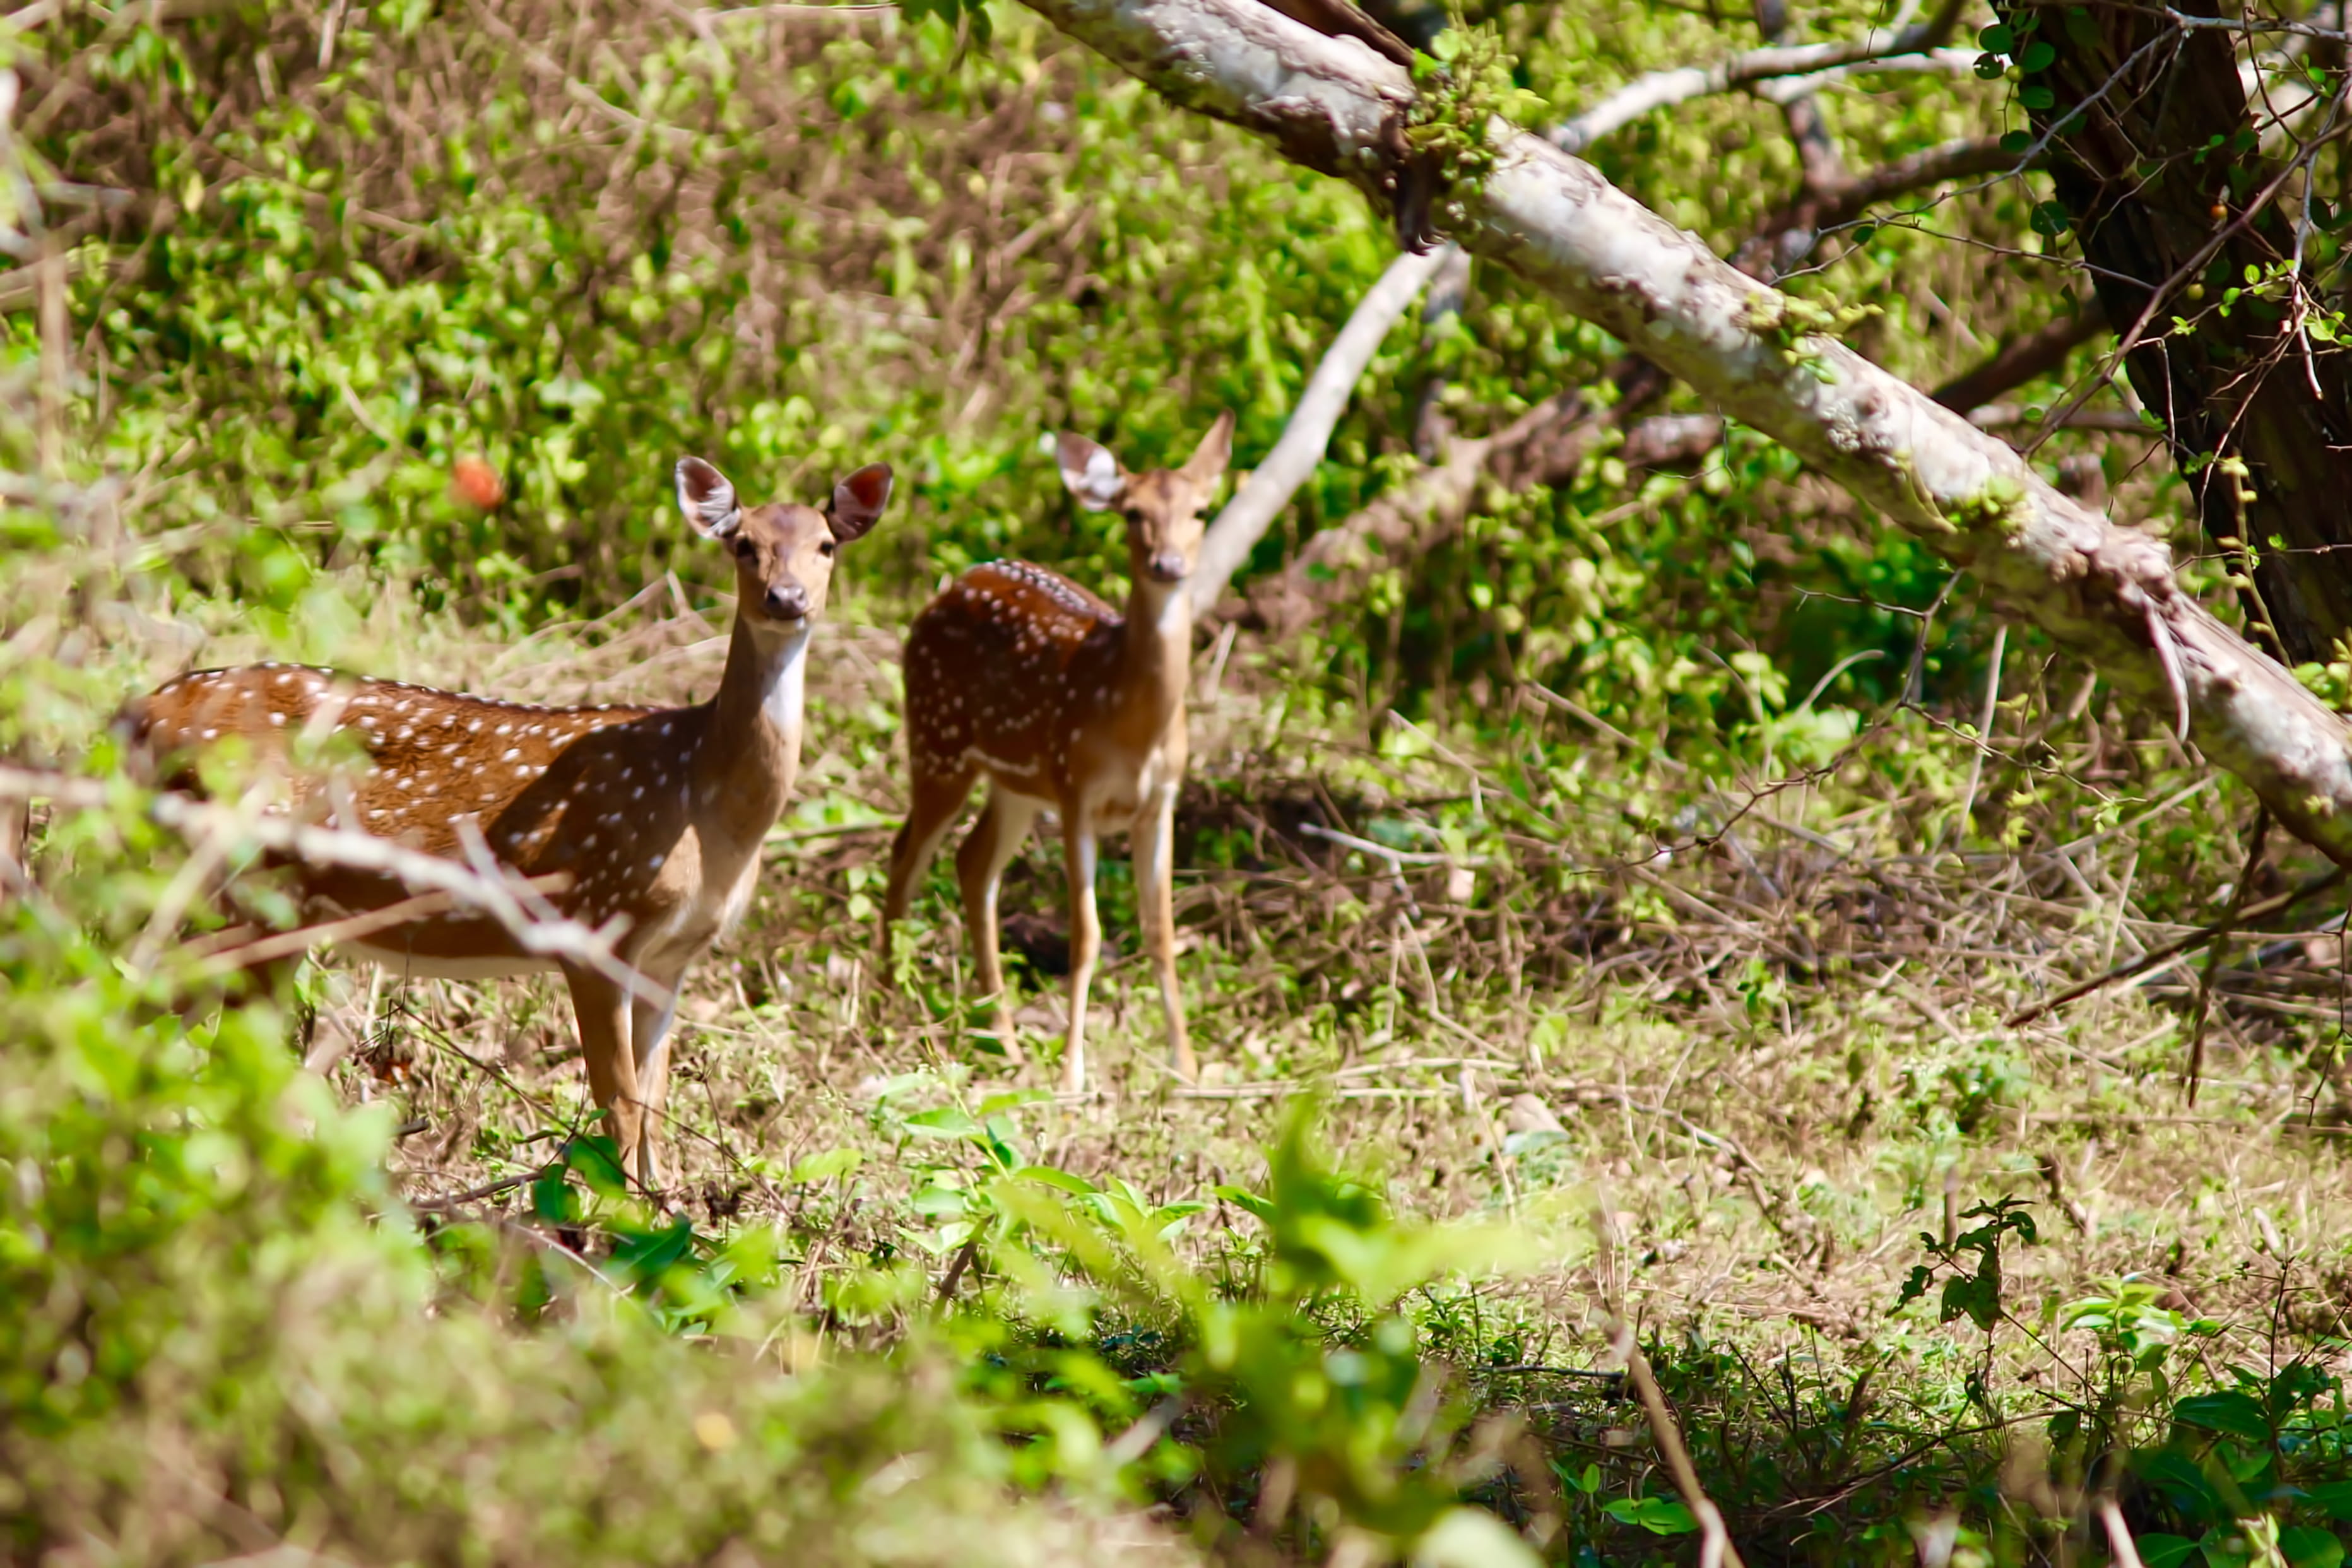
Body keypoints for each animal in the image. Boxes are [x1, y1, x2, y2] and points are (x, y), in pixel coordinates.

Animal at [121, 455, 894, 1187]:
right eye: (743, 544)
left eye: (826, 545)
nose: (786, 598)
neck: (705, 802)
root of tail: (143, 712)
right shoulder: (596, 923)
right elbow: (618, 1111)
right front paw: (617, 1227)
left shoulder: (672, 959)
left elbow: (654, 1112)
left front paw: (671, 1216)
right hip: (253, 882)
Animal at [879, 413, 1232, 1096]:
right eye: (1131, 512)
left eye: (1201, 510)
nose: (1168, 563)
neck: (1130, 722)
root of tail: (944, 591)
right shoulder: (1076, 790)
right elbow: (1086, 935)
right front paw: (1071, 1074)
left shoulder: (1161, 801)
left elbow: (1160, 929)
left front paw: (1188, 1068)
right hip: (938, 744)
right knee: (906, 854)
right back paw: (887, 1009)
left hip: (1014, 785)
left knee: (972, 863)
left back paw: (1005, 1039)